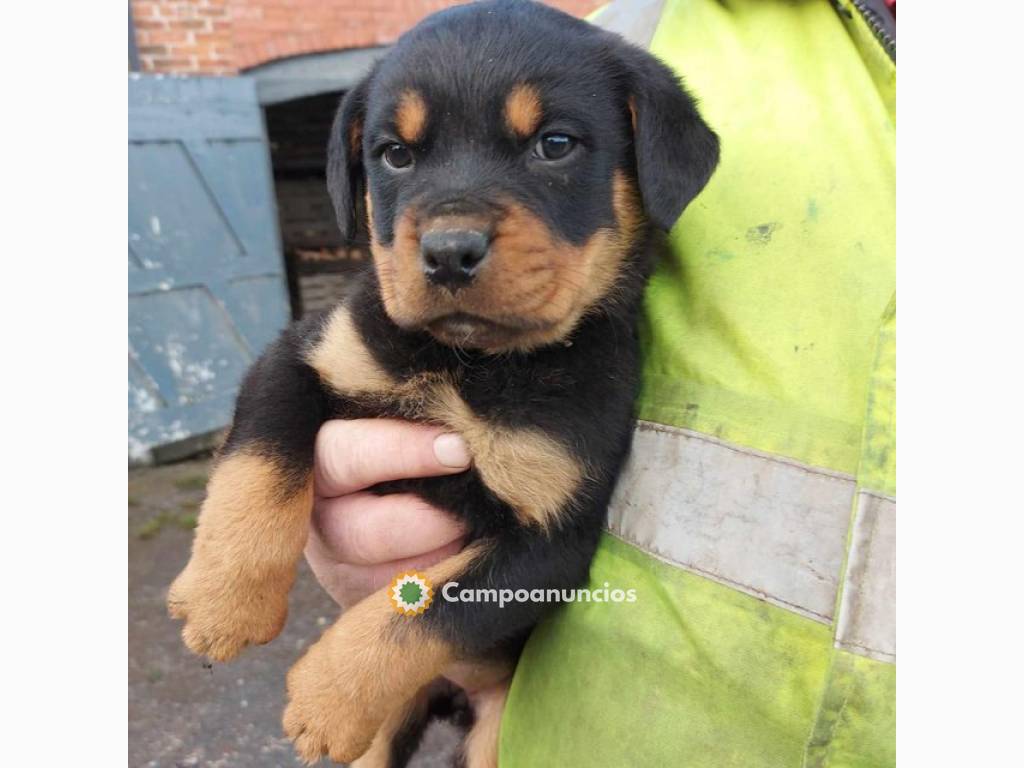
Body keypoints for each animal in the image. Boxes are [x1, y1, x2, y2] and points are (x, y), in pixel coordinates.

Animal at [167, 0, 720, 765]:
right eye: (395, 155)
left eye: (555, 144)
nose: (448, 252)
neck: (473, 362)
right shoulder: (300, 355)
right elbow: (260, 464)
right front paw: (225, 604)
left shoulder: (557, 538)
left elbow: (432, 606)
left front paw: (326, 697)